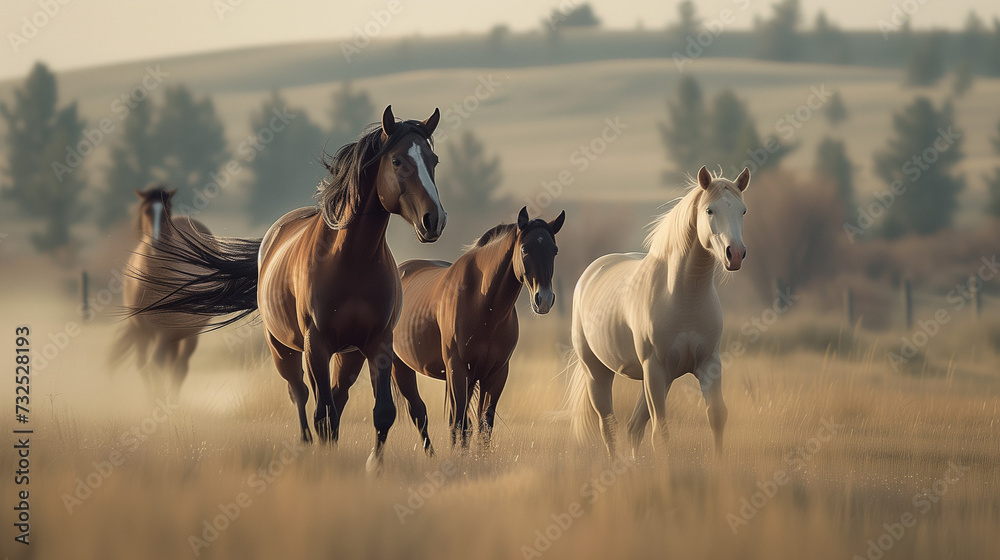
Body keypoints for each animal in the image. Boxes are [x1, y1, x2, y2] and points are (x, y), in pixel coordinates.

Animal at [112, 186, 214, 400]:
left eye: (167, 210)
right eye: (146, 211)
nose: (157, 244)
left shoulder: (165, 332)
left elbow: (157, 363)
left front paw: (160, 402)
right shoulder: (140, 330)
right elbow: (143, 365)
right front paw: (153, 401)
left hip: (189, 333)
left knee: (179, 366)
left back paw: (172, 401)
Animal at [130, 106, 445, 472]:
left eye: (433, 159)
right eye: (396, 160)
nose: (434, 220)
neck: (352, 259)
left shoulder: (378, 342)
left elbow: (382, 412)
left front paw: (374, 467)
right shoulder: (316, 345)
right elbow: (323, 414)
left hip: (349, 355)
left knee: (337, 395)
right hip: (283, 350)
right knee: (301, 395)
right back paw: (307, 445)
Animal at [391, 207, 565, 454]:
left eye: (554, 250)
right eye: (525, 249)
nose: (545, 300)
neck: (483, 303)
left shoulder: (495, 374)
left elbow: (484, 426)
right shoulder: (458, 369)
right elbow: (461, 424)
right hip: (400, 367)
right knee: (419, 413)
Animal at [565, 165, 750, 461]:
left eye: (743, 210)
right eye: (709, 210)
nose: (735, 254)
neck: (683, 296)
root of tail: (591, 272)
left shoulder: (707, 364)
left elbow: (717, 417)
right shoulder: (655, 368)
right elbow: (660, 433)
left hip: (657, 378)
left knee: (632, 428)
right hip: (599, 372)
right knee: (609, 426)